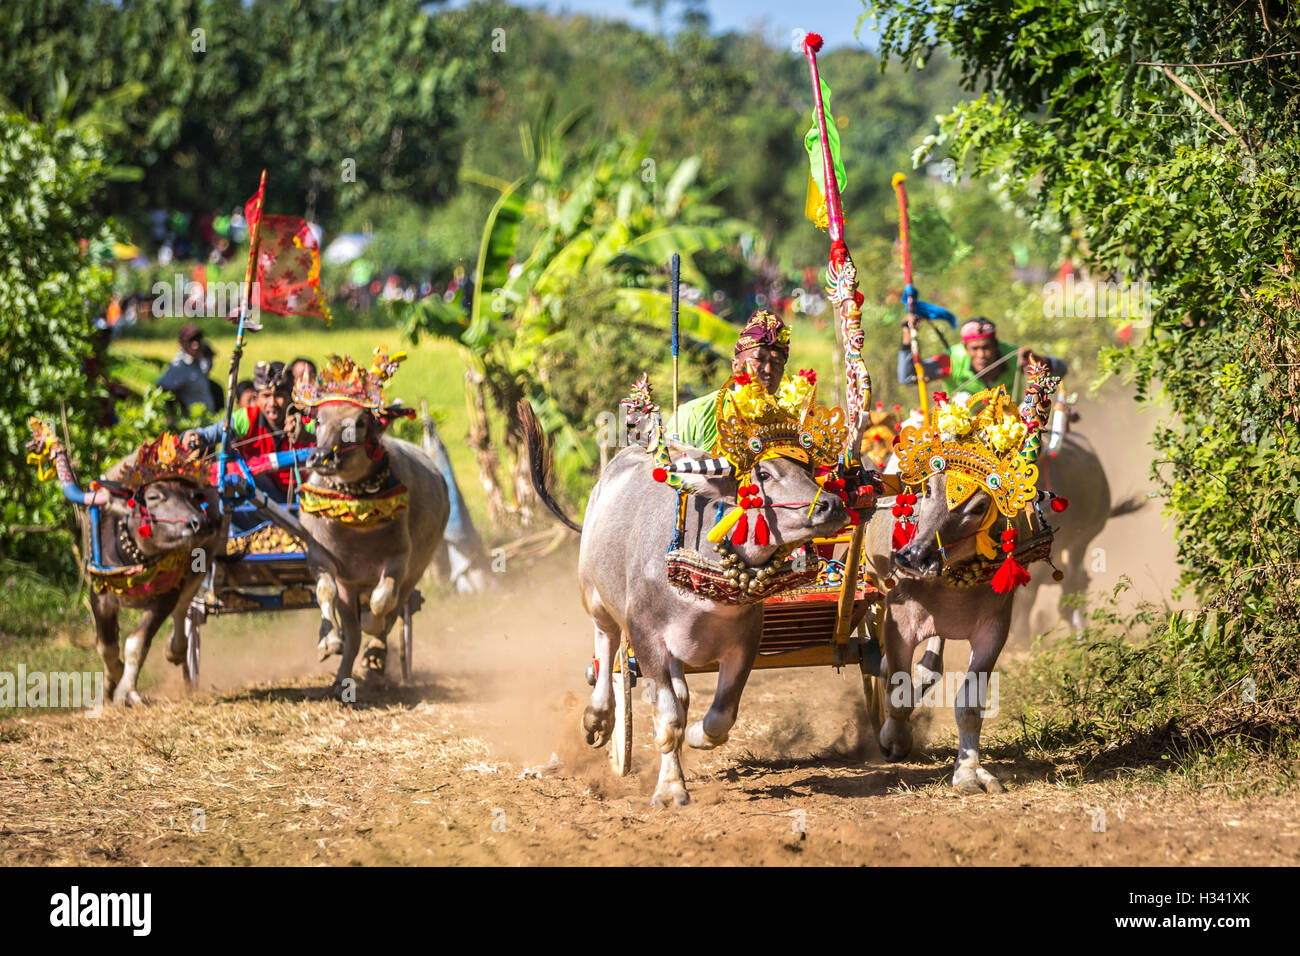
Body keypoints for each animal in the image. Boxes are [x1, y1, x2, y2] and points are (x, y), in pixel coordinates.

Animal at [301, 398, 449, 697]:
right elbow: (325, 592)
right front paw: (329, 641)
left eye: (359, 423)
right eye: (319, 420)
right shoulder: (321, 557)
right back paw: (341, 678)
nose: (321, 456)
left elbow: (382, 602)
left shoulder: (399, 561)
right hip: (351, 588)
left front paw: (372, 623)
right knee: (353, 634)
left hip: (416, 570)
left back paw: (375, 653)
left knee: (394, 609)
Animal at [522, 400, 847, 806]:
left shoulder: (745, 642)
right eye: (765, 474)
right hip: (595, 598)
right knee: (606, 648)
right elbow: (668, 718)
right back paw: (598, 717)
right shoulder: (647, 639)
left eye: (807, 470)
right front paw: (670, 788)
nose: (832, 505)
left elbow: (719, 717)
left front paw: (695, 737)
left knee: (681, 693)